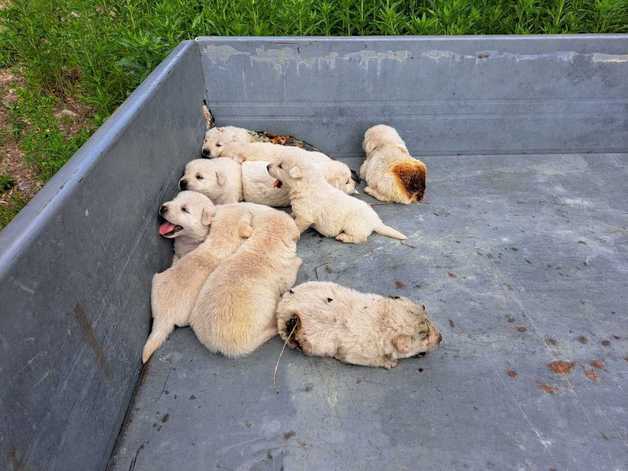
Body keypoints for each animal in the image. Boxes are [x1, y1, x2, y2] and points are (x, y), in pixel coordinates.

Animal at [266, 156, 404, 245]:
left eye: (280, 166)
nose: (267, 166)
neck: (305, 185)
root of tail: (376, 222)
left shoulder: (305, 217)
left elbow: (298, 225)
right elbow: (294, 213)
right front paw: (290, 215)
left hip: (353, 224)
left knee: (361, 238)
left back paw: (343, 237)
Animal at [274, 280, 442, 368]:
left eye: (428, 320)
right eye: (425, 336)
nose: (441, 338)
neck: (382, 320)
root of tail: (281, 305)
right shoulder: (356, 353)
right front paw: (390, 362)